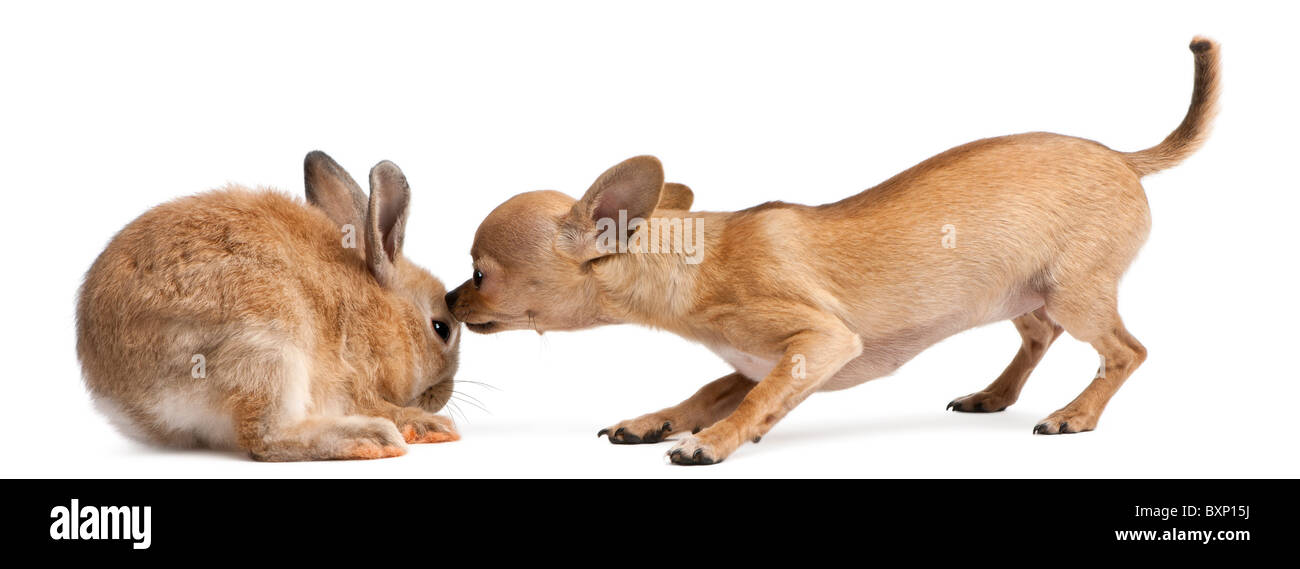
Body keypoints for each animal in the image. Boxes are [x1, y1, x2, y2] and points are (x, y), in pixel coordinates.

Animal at [76, 151, 460, 461]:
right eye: (441, 328)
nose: (441, 397)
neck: (380, 313)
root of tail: (117, 389)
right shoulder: (354, 379)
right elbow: (377, 405)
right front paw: (429, 424)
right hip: (270, 346)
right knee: (265, 437)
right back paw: (374, 438)